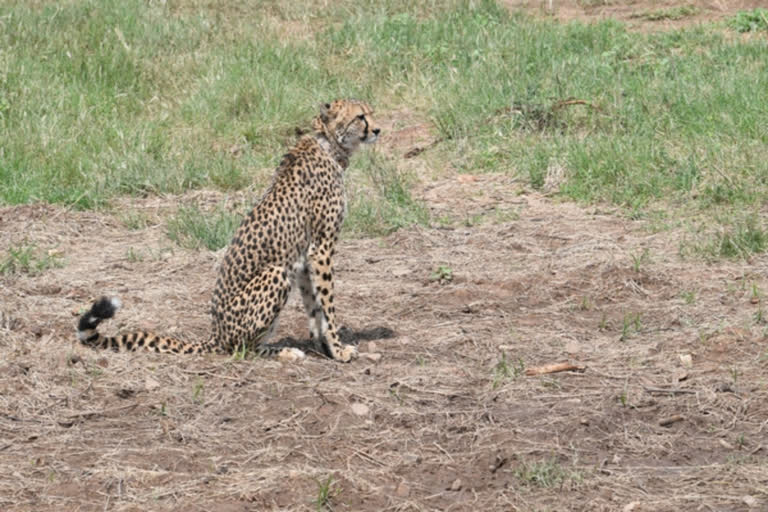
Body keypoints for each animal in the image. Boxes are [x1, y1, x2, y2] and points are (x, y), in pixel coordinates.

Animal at [76, 100, 380, 362]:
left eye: (371, 113)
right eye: (360, 117)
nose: (377, 129)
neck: (328, 144)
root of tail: (215, 335)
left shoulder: (305, 258)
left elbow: (314, 306)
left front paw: (324, 346)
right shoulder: (321, 248)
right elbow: (327, 305)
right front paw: (338, 349)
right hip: (276, 273)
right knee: (242, 348)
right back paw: (283, 351)